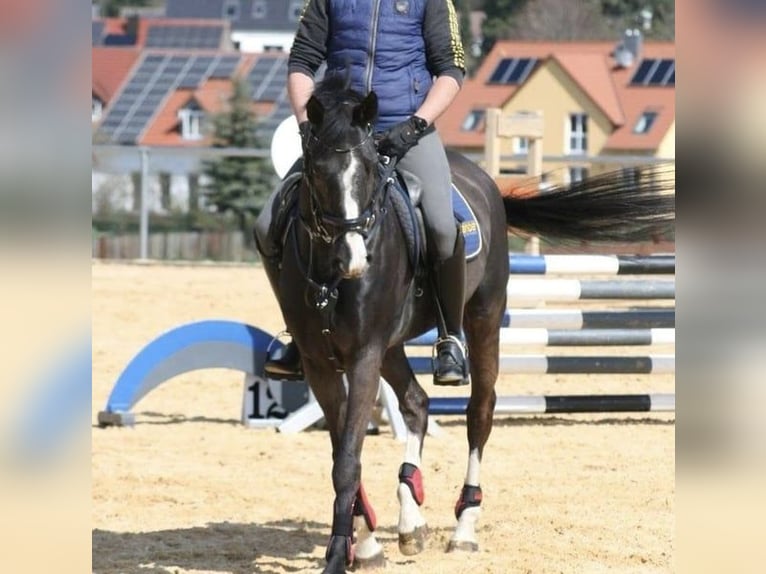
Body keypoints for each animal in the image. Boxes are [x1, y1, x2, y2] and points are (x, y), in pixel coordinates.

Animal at [263, 75, 674, 574]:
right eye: (319, 172)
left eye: (370, 172)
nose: (354, 260)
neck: (329, 274)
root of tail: (486, 182)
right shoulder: (321, 361)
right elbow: (343, 451)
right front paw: (365, 544)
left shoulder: (362, 356)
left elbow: (347, 457)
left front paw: (341, 555)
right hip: (393, 346)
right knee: (417, 403)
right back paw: (410, 518)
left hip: (482, 320)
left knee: (480, 411)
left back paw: (464, 527)